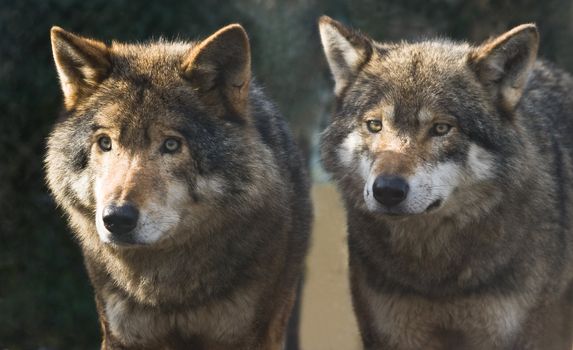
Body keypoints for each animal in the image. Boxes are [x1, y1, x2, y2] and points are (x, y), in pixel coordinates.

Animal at [45, 23, 310, 348]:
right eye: (105, 143)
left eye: (171, 145)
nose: (116, 219)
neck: (168, 292)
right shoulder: (121, 334)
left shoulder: (251, 336)